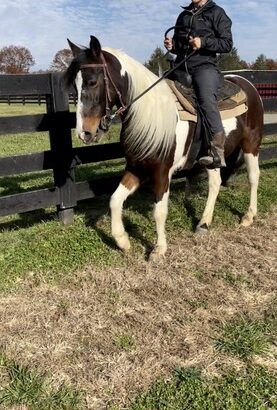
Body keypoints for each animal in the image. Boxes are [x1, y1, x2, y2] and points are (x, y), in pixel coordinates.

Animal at [64, 36, 264, 260]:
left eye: (92, 82)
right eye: (74, 87)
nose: (84, 133)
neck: (151, 113)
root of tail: (248, 84)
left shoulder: (162, 171)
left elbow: (159, 211)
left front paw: (159, 249)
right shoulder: (136, 167)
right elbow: (115, 200)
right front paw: (123, 241)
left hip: (251, 144)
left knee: (253, 177)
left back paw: (248, 216)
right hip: (212, 157)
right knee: (215, 184)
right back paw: (203, 223)